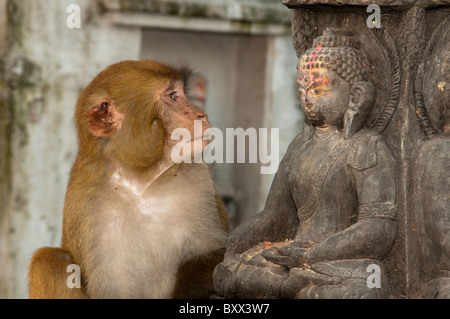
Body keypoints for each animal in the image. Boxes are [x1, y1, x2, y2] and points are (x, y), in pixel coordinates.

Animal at [28, 60, 230, 300]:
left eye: (181, 93)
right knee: (50, 260)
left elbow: (215, 253)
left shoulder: (198, 179)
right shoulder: (89, 208)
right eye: (173, 96)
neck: (140, 181)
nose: (201, 115)